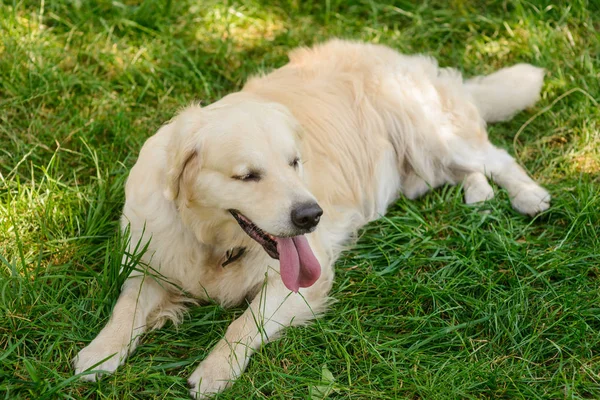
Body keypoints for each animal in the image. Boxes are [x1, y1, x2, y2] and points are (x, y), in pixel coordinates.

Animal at [72, 39, 552, 396]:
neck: (212, 241)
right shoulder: (151, 260)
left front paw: (214, 371)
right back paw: (479, 194)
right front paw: (100, 354)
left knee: (496, 156)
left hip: (430, 135)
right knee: (465, 170)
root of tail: (394, 55)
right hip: (422, 165)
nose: (311, 215)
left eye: (295, 162)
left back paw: (529, 195)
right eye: (247, 176)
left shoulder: (301, 280)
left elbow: (243, 324)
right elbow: (126, 307)